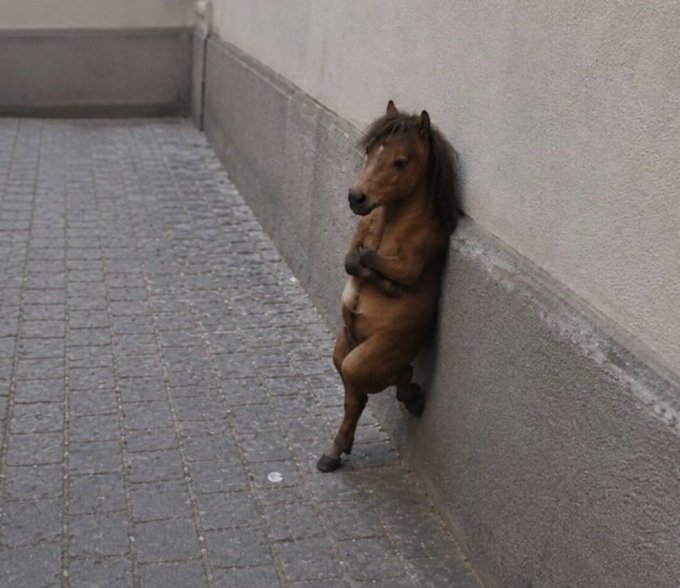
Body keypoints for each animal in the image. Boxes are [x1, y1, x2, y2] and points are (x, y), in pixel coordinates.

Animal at [317, 100, 461, 473]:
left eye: (401, 161)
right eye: (370, 151)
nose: (356, 197)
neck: (389, 223)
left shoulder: (417, 258)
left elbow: (369, 262)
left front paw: (385, 284)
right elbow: (352, 258)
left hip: (373, 352)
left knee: (374, 376)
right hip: (345, 344)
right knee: (356, 389)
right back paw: (335, 450)